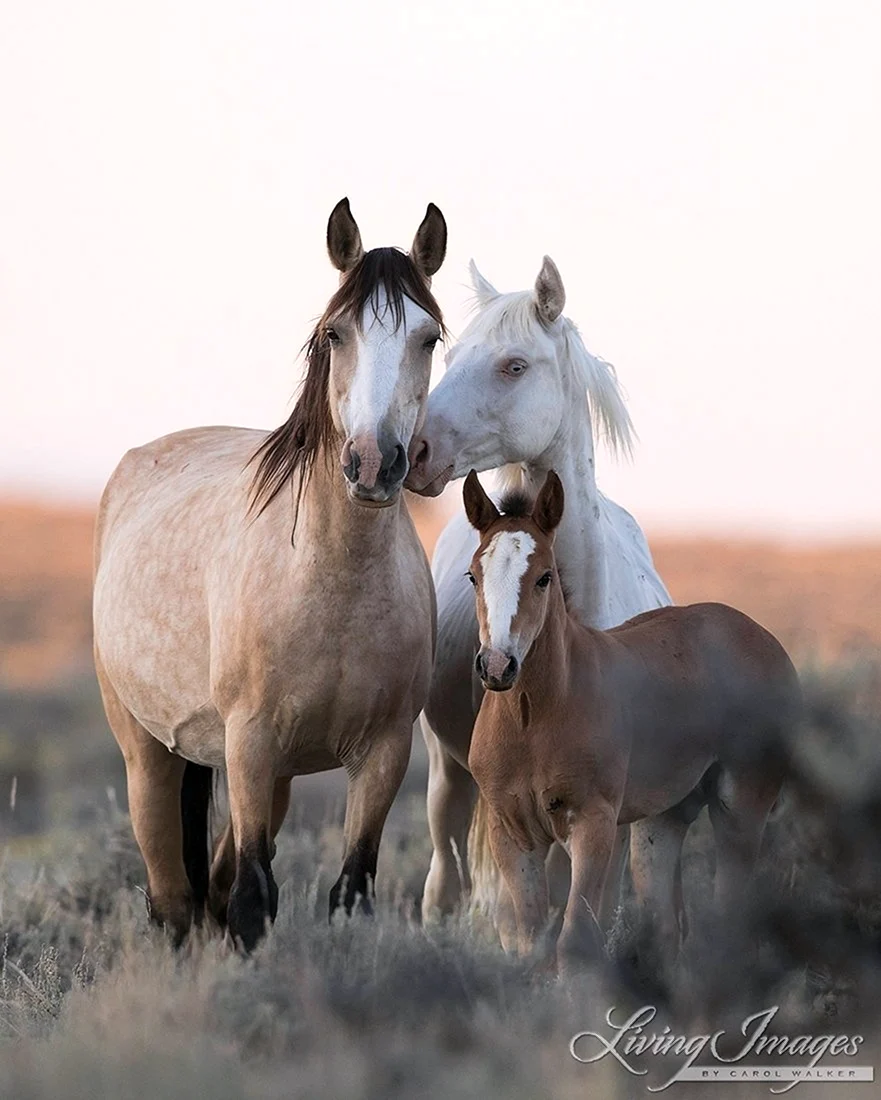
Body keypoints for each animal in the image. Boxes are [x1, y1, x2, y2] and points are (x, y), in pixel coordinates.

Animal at [93, 198, 447, 950]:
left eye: (428, 337)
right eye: (334, 333)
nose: (373, 464)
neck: (332, 584)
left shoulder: (382, 753)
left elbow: (348, 892)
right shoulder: (249, 742)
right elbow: (253, 900)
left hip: (275, 774)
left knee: (210, 886)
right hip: (149, 753)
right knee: (174, 901)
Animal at [403, 256, 670, 929]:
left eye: (515, 365)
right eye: (448, 357)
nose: (412, 451)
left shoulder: (600, 810)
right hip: (445, 774)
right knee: (445, 878)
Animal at [462, 469, 801, 972]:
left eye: (544, 577)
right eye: (473, 576)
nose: (498, 666)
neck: (533, 719)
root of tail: (766, 640)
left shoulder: (593, 823)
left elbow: (574, 940)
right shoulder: (513, 833)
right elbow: (532, 945)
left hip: (741, 806)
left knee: (729, 915)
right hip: (661, 821)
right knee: (666, 926)